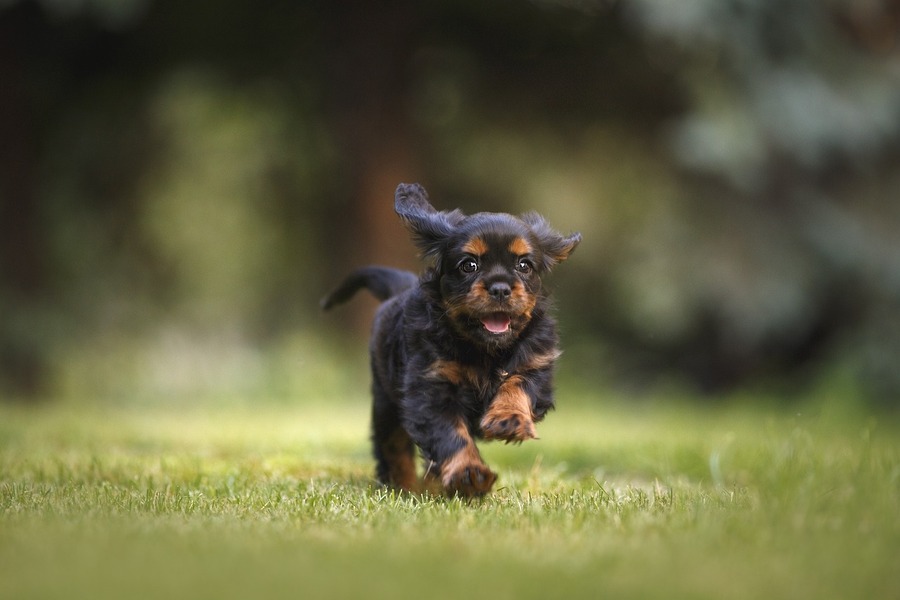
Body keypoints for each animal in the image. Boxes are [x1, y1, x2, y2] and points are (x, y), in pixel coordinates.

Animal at [320, 183, 580, 496]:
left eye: (524, 265)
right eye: (469, 265)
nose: (500, 288)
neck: (485, 350)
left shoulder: (536, 365)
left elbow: (517, 385)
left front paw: (508, 418)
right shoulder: (431, 387)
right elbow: (450, 434)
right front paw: (469, 474)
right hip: (386, 403)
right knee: (393, 447)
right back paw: (405, 486)